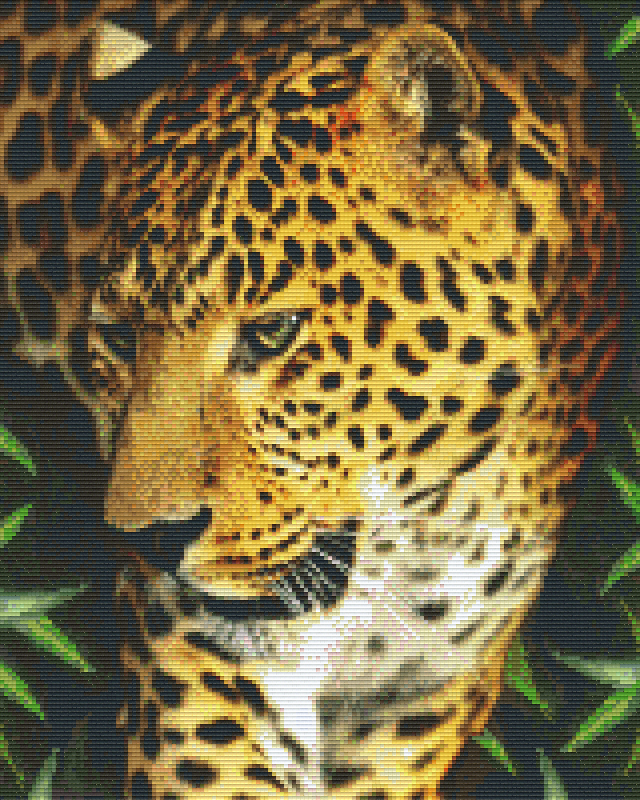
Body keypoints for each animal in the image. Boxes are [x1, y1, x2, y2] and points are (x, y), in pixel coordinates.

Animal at [0, 0, 627, 798]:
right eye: (118, 337)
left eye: (272, 331)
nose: (152, 541)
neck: (419, 538)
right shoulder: (191, 652)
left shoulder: (422, 700)